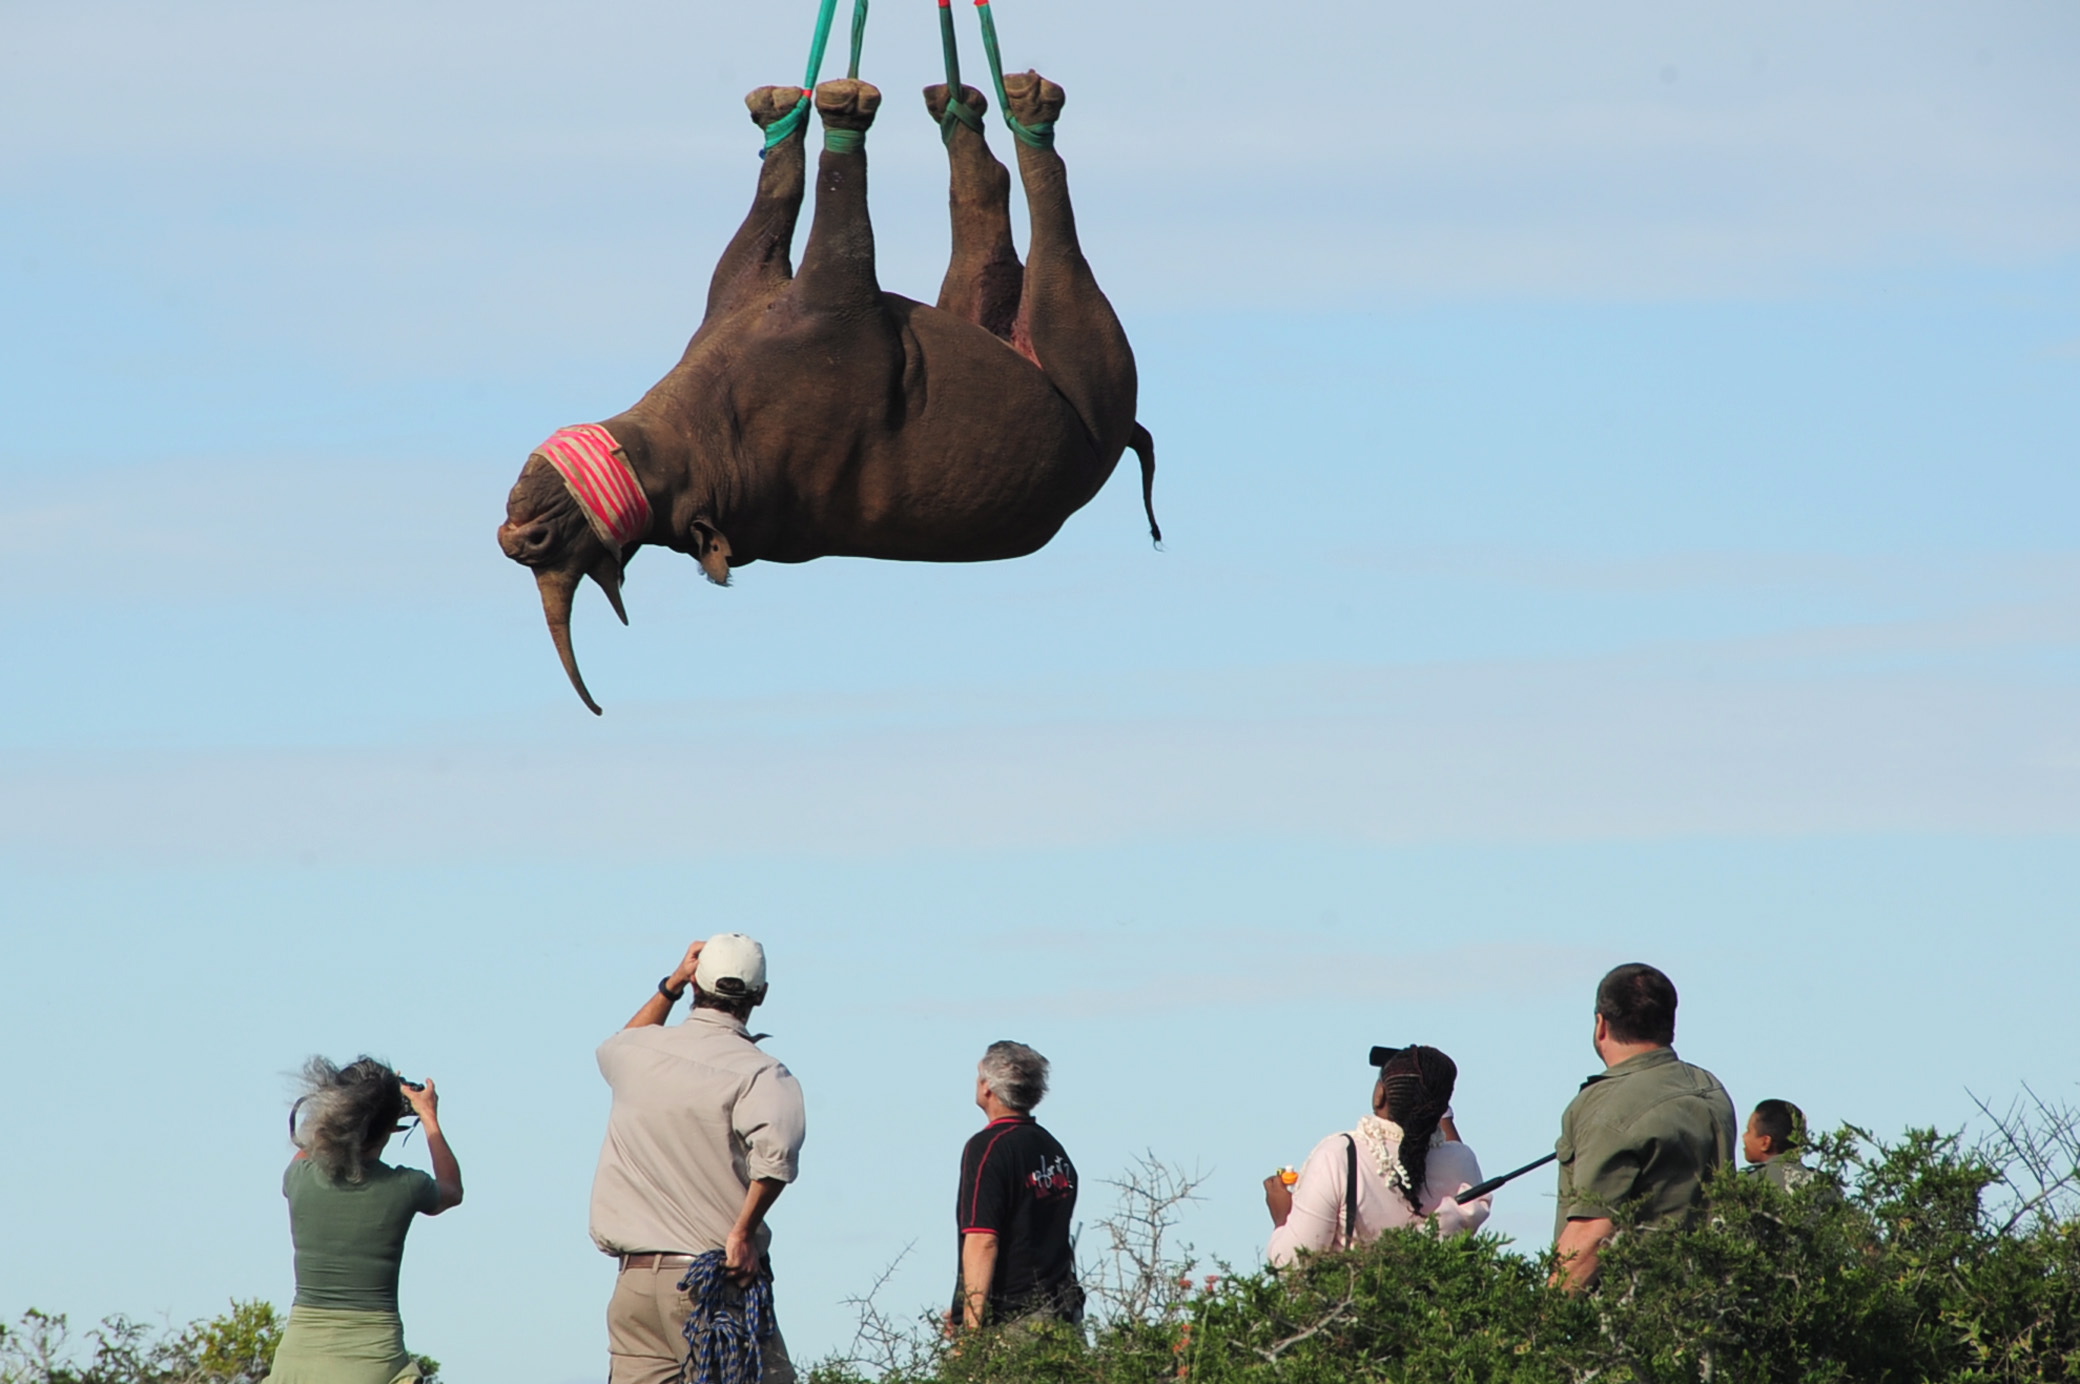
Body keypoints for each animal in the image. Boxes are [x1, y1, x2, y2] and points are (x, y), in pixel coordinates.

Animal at [496, 73, 1156, 712]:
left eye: (546, 544)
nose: (519, 539)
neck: (703, 430)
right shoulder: (835, 308)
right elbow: (841, 213)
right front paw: (841, 113)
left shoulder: (746, 291)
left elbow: (776, 201)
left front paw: (782, 118)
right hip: (1088, 369)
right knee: (1042, 229)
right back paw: (1026, 111)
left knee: (983, 201)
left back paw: (963, 106)